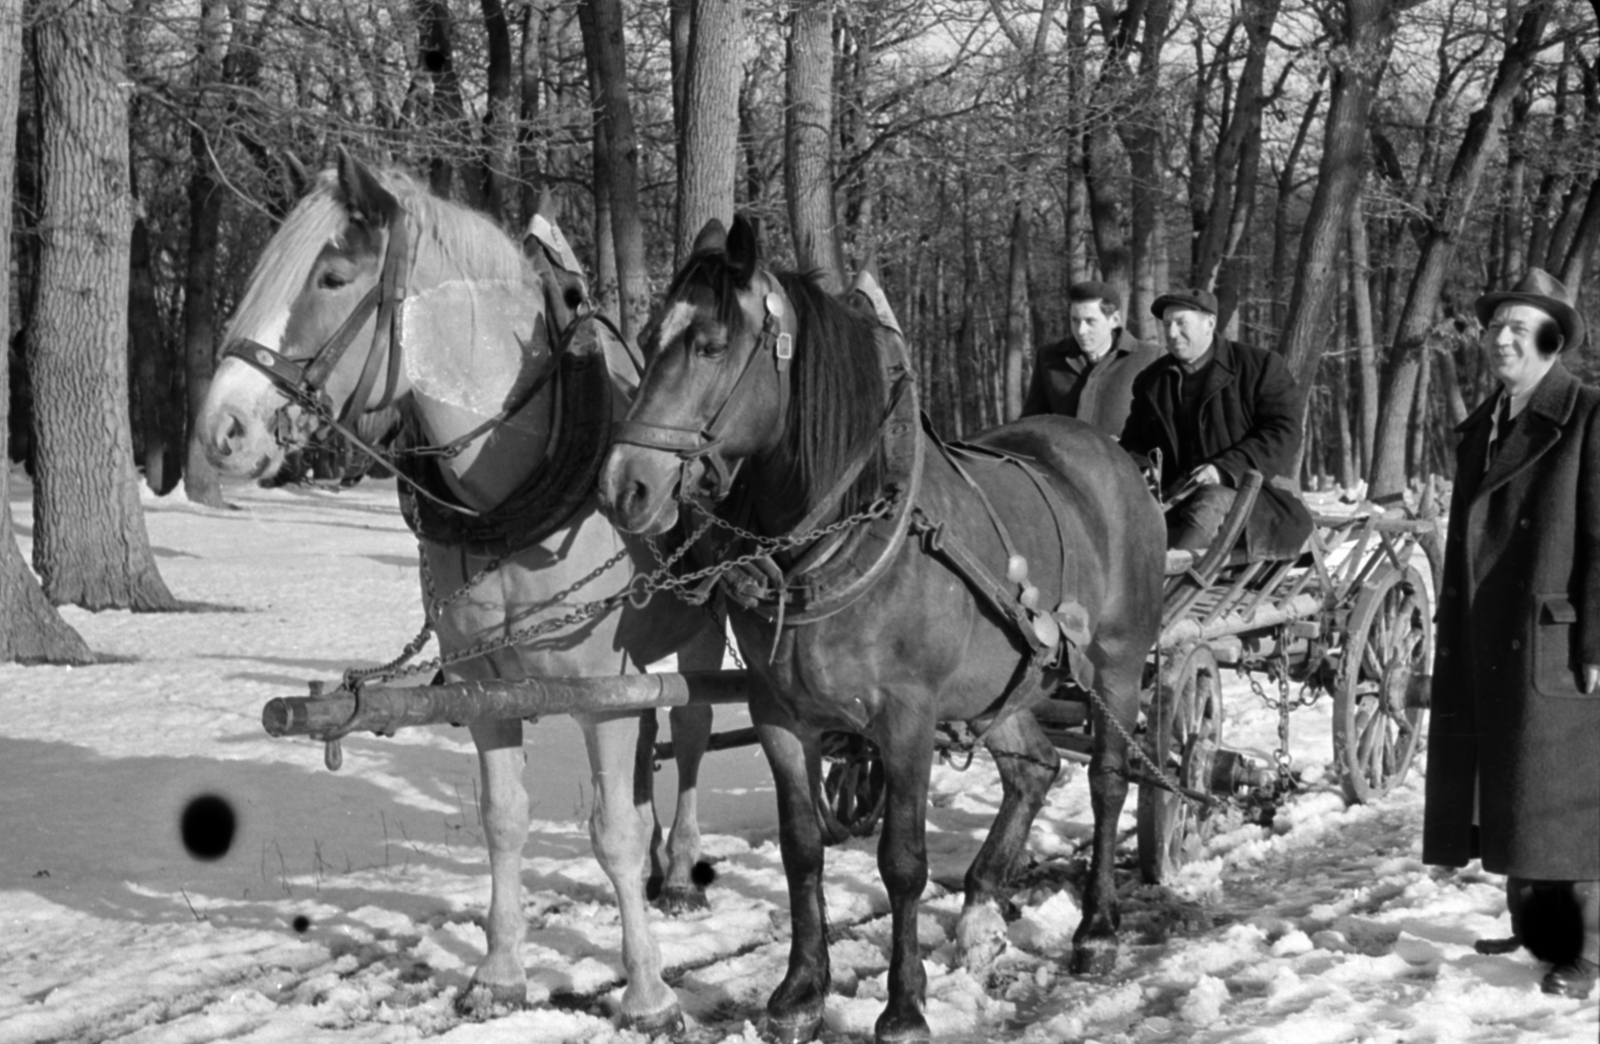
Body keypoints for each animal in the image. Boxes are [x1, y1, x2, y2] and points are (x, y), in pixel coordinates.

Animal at [198, 150, 720, 1031]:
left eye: (333, 276)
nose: (220, 430)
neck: (516, 488)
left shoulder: (599, 691)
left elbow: (610, 828)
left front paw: (648, 992)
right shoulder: (482, 685)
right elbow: (503, 820)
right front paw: (500, 973)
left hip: (708, 631)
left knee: (692, 729)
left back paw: (680, 870)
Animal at [601, 216, 1164, 1037]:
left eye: (708, 344)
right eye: (648, 337)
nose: (623, 487)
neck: (840, 530)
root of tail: (1111, 457)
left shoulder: (908, 717)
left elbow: (901, 861)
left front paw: (903, 1007)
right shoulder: (779, 712)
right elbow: (803, 849)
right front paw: (801, 992)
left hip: (1116, 667)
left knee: (1107, 781)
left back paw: (1095, 927)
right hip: (1007, 681)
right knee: (1032, 768)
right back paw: (980, 910)